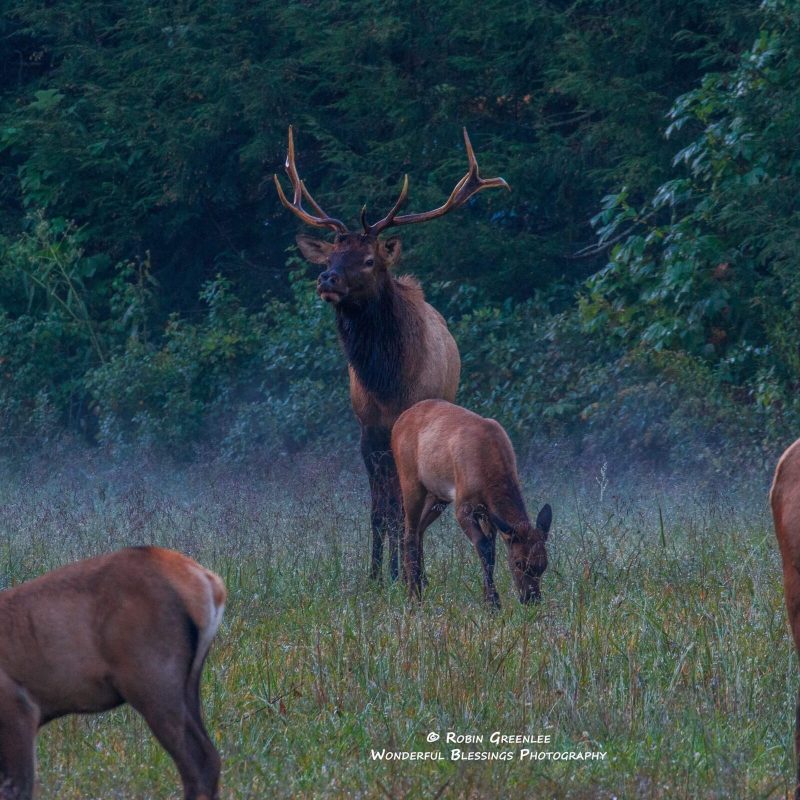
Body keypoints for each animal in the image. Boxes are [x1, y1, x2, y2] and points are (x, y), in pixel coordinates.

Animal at [274, 126, 509, 580]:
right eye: (330, 255)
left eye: (368, 259)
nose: (327, 279)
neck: (386, 384)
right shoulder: (368, 431)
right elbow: (377, 511)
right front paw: (375, 574)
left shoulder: (406, 430)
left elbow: (401, 510)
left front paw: (401, 572)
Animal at [391, 399, 552, 606]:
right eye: (518, 562)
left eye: (543, 564)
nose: (531, 598)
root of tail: (398, 422)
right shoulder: (463, 506)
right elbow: (484, 547)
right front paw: (493, 602)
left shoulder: (488, 513)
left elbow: (491, 550)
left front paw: (487, 597)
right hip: (410, 479)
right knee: (409, 532)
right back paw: (414, 594)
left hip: (438, 495)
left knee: (419, 529)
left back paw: (422, 582)